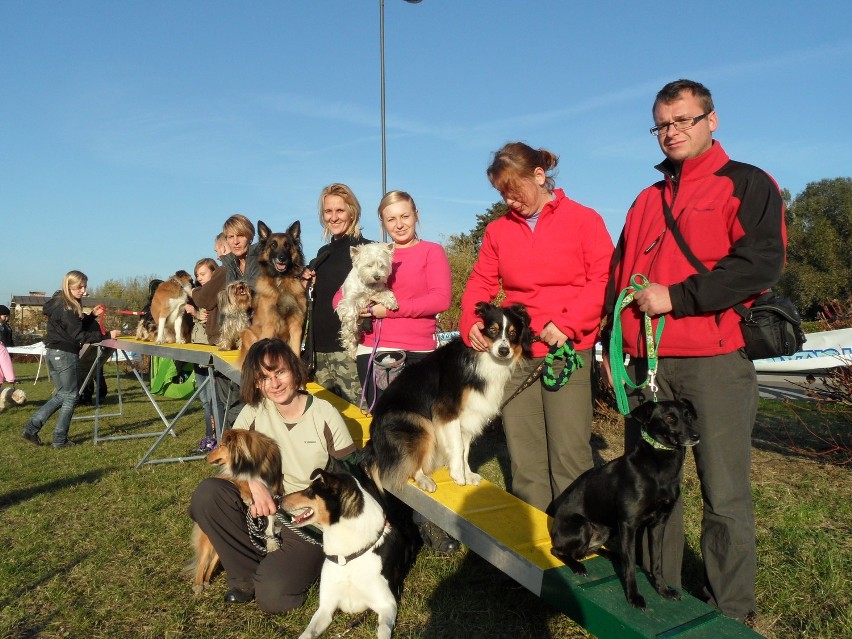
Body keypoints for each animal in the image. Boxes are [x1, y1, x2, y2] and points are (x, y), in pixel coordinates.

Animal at [189, 428, 282, 596]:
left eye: (221, 445)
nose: (205, 457)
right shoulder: (227, 475)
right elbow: (239, 479)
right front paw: (248, 494)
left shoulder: (273, 492)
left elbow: (270, 522)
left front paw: (271, 543)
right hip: (207, 540)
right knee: (202, 562)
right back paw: (198, 584)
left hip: (216, 548)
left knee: (213, 561)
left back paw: (206, 581)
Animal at [238, 222, 308, 364]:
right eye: (273, 245)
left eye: (287, 245)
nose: (282, 258)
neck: (281, 280)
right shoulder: (269, 325)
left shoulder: (296, 325)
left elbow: (296, 349)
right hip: (248, 332)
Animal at [282, 464, 422, 639]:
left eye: (310, 491)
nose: (278, 500)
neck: (348, 557)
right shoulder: (326, 607)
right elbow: (307, 633)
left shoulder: (387, 604)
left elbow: (383, 630)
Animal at [360, 302, 532, 492]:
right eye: (492, 330)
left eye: (512, 333)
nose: (504, 351)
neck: (480, 358)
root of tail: (374, 440)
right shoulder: (446, 408)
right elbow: (457, 445)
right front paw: (458, 474)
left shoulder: (470, 413)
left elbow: (465, 449)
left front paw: (467, 473)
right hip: (417, 422)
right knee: (409, 458)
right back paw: (423, 479)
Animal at [544, 400, 700, 608]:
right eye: (669, 418)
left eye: (688, 415)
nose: (696, 436)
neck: (659, 469)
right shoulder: (628, 524)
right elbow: (631, 565)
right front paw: (634, 597)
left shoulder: (658, 524)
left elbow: (657, 561)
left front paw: (663, 590)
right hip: (583, 526)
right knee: (559, 550)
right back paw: (577, 565)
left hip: (609, 528)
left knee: (592, 549)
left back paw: (613, 555)